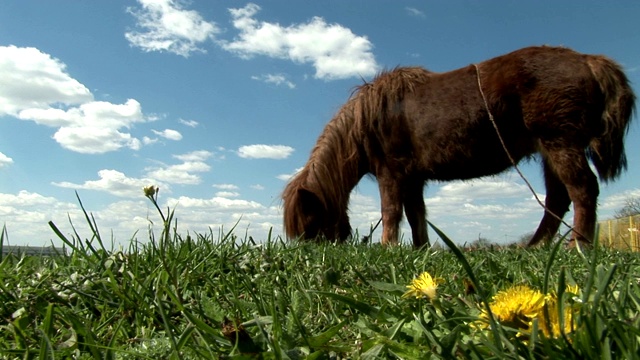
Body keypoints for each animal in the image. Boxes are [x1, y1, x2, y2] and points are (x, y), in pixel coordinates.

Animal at [284, 45, 636, 248]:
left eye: (311, 223)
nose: (317, 254)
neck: (370, 119)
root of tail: (589, 61)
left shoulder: (392, 174)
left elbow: (391, 213)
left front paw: (387, 249)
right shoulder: (412, 179)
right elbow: (416, 215)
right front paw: (419, 251)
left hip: (560, 142)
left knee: (582, 189)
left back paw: (578, 246)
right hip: (550, 150)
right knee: (558, 199)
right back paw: (535, 247)